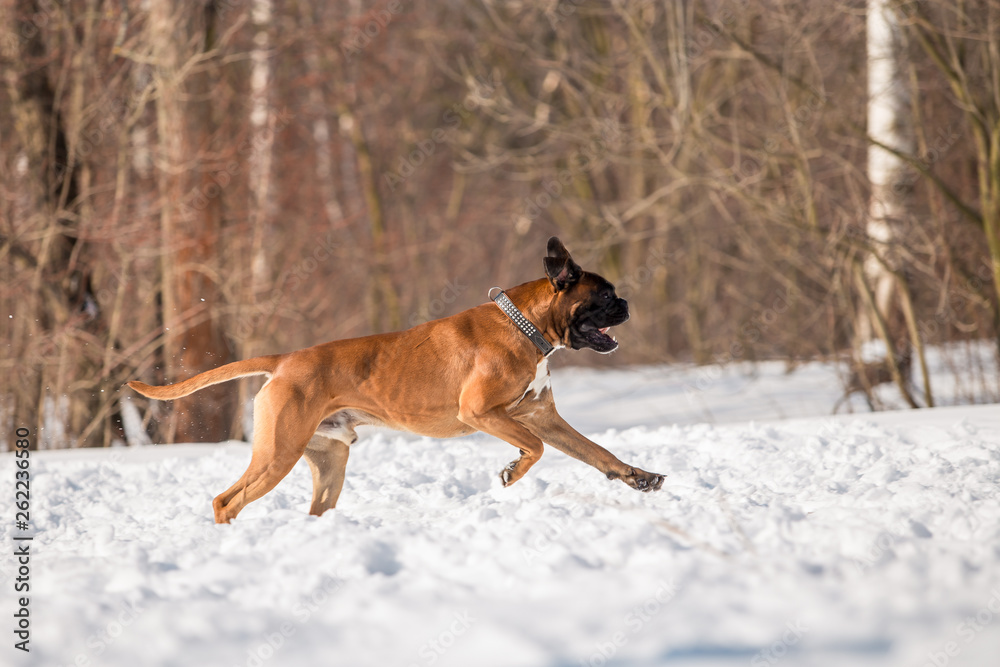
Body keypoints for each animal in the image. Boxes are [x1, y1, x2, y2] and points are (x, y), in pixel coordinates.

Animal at [131, 237, 664, 524]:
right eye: (604, 296)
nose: (628, 304)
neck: (526, 326)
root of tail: (285, 360)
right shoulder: (484, 413)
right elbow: (533, 449)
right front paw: (512, 472)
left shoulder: (545, 417)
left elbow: (597, 452)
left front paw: (637, 476)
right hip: (277, 453)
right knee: (226, 500)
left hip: (329, 461)